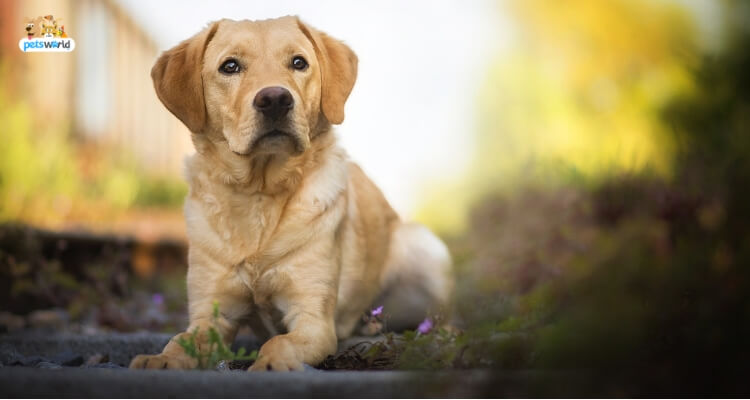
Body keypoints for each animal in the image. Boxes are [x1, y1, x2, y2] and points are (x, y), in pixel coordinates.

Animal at [129, 16, 452, 372]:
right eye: (230, 66)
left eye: (299, 63)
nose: (274, 99)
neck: (260, 194)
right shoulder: (211, 314)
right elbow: (180, 341)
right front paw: (161, 359)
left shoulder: (312, 318)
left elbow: (279, 342)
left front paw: (269, 364)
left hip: (425, 247)